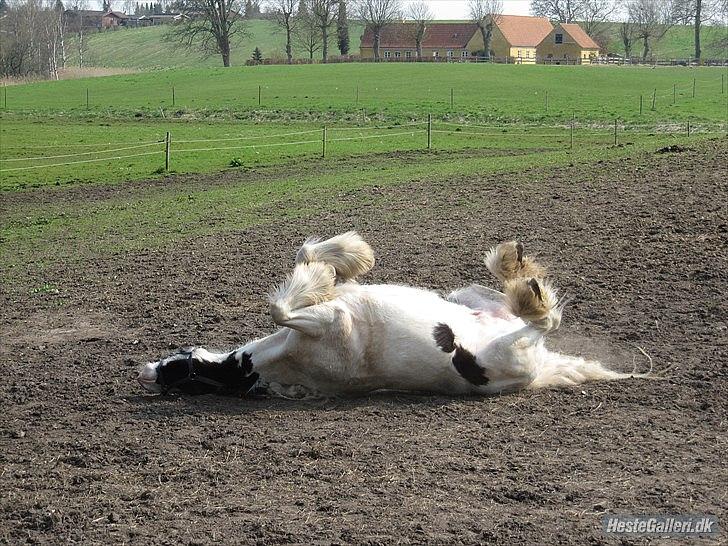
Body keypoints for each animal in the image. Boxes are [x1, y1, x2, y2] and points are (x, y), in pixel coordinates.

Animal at [138, 230, 656, 396]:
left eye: (173, 367)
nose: (147, 368)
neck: (276, 360)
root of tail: (541, 367)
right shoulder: (334, 319)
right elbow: (279, 307)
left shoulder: (337, 306)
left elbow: (305, 259)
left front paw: (348, 253)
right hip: (513, 344)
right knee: (544, 320)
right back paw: (529, 290)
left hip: (468, 295)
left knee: (515, 294)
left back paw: (515, 266)